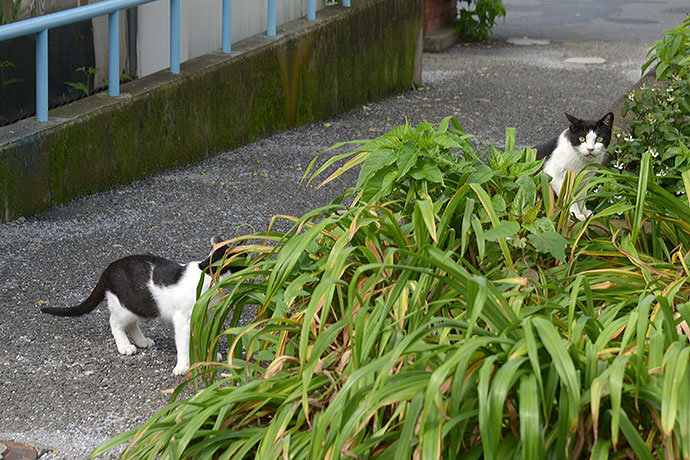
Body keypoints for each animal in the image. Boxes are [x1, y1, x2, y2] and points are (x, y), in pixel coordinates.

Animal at [43, 239, 238, 376]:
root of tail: (109, 268)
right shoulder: (183, 319)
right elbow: (184, 343)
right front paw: (183, 366)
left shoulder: (204, 316)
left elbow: (203, 336)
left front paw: (208, 355)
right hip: (125, 306)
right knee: (115, 323)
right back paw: (125, 346)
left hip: (140, 306)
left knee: (131, 324)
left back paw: (142, 341)